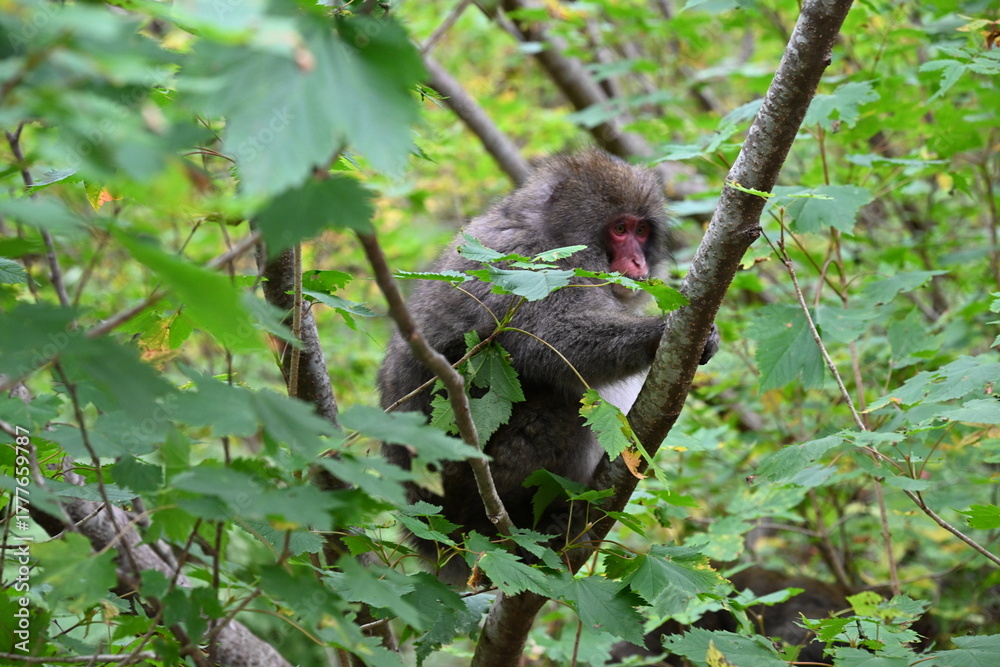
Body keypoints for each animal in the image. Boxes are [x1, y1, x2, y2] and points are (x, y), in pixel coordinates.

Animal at [377, 150, 719, 576]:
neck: (554, 236)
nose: (638, 262)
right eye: (619, 228)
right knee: (562, 408)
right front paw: (655, 334)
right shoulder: (526, 262)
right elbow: (552, 339)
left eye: (642, 231)